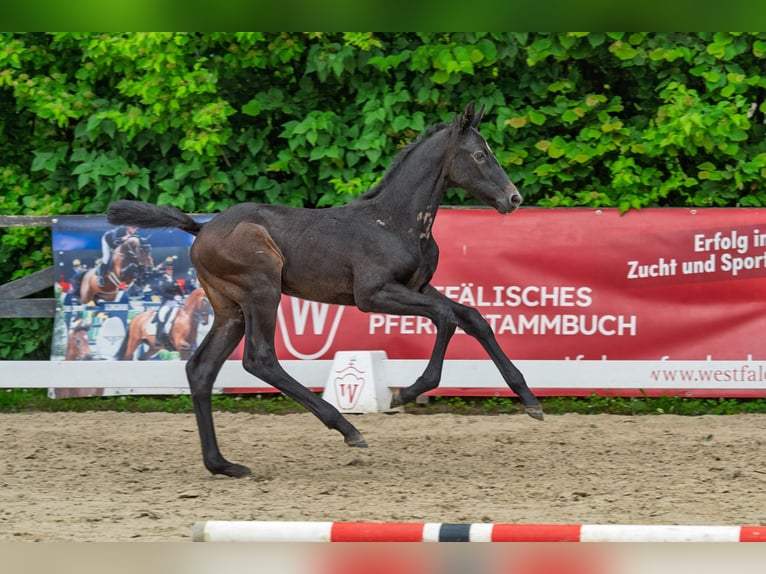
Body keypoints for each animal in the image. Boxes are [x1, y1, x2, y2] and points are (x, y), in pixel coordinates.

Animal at [107, 102, 544, 477]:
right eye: (480, 155)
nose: (514, 197)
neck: (394, 221)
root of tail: (200, 228)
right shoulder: (373, 294)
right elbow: (446, 317)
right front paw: (406, 393)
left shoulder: (418, 285)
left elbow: (473, 317)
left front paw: (531, 401)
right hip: (262, 290)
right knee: (260, 359)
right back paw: (347, 428)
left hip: (229, 308)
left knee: (201, 369)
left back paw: (224, 465)